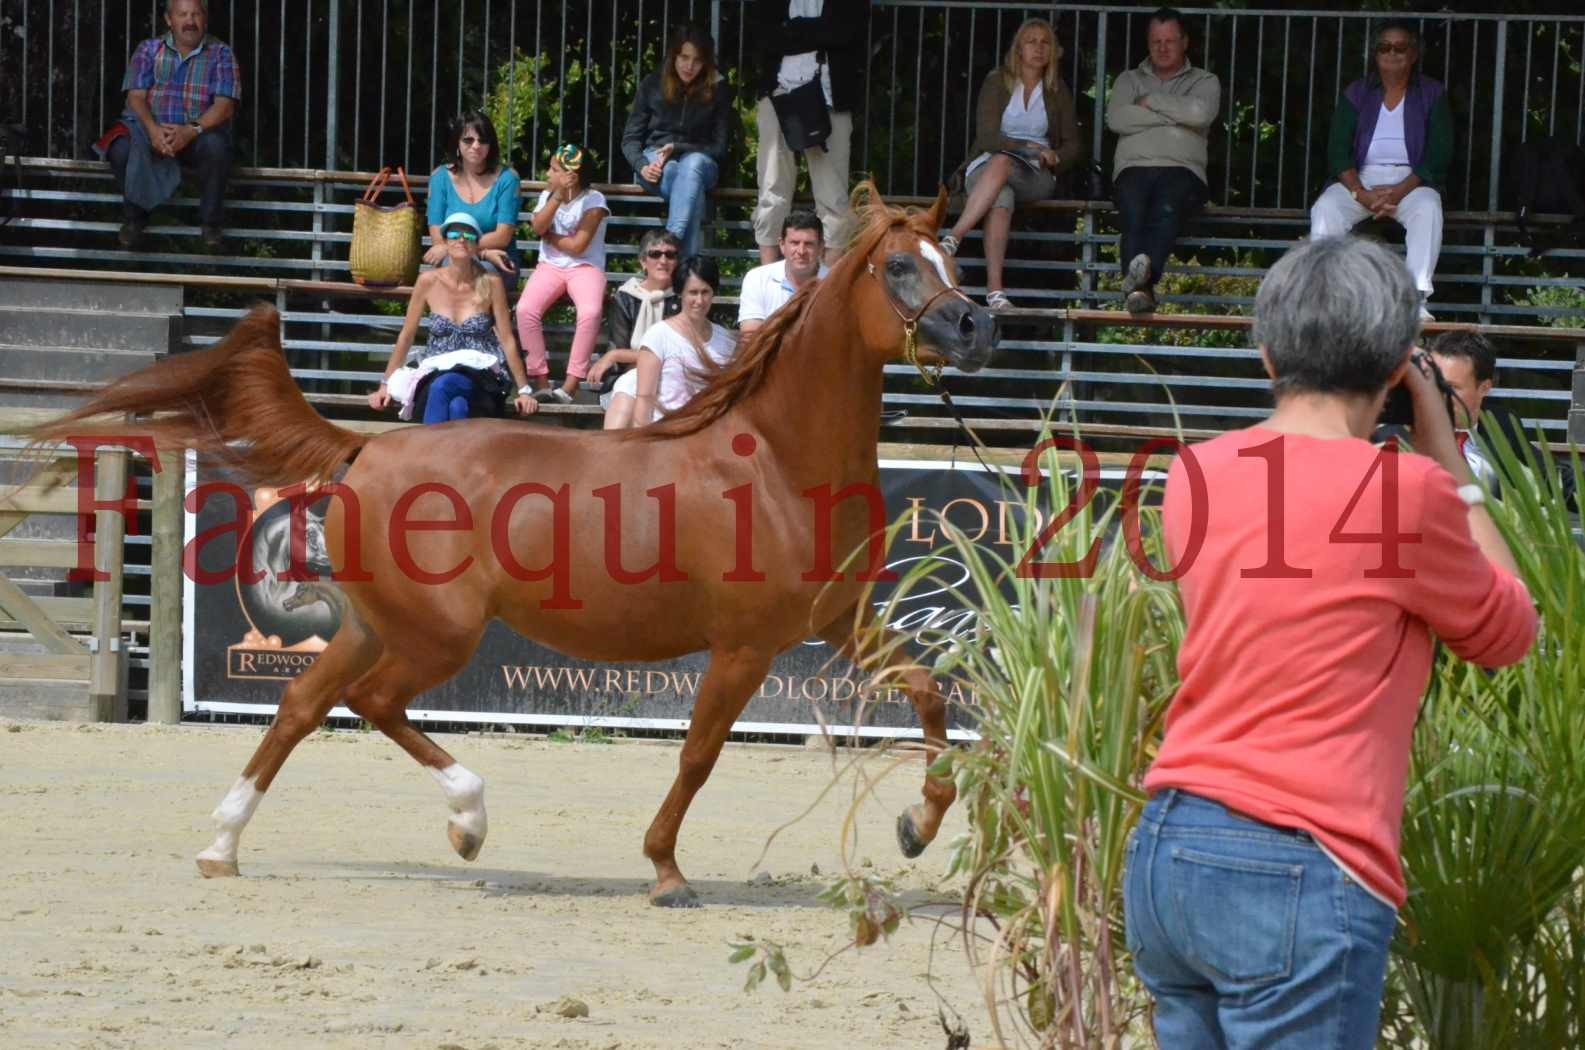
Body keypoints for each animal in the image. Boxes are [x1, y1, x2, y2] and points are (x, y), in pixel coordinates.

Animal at [30, 184, 995, 907]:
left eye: (952, 256)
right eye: (900, 265)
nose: (974, 329)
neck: (775, 464)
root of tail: (368, 448)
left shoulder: (836, 623)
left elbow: (930, 698)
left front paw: (916, 828)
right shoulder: (744, 646)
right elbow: (697, 755)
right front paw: (665, 872)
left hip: (376, 624)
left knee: (302, 703)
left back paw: (223, 846)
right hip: (438, 634)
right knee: (372, 704)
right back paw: (468, 822)